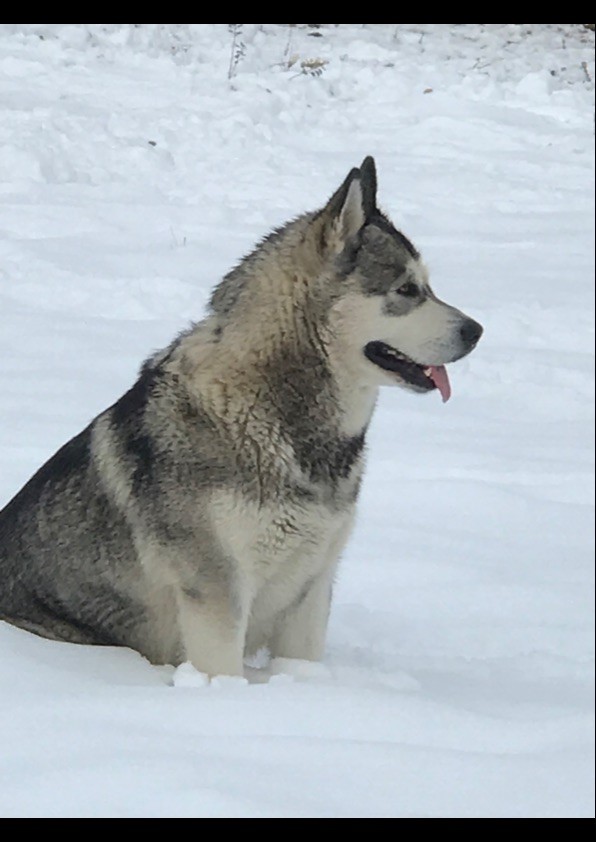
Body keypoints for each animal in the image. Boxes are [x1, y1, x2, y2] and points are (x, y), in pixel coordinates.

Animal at [0, 158, 482, 676]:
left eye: (428, 287)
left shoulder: (312, 588)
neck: (272, 411)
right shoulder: (217, 592)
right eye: (407, 289)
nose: (476, 331)